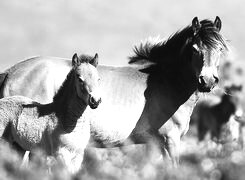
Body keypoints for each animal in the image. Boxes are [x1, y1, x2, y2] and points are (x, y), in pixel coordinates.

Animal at [0, 16, 228, 166]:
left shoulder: (154, 144)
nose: (207, 81)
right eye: (195, 49)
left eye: (220, 49)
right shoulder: (170, 140)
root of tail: (10, 72)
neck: (167, 81)